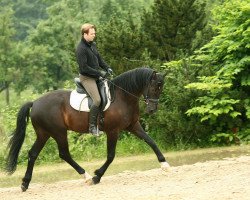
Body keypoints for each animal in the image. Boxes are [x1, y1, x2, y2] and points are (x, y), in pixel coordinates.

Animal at [5, 67, 171, 191]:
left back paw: (25, 183)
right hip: (58, 132)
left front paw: (165, 165)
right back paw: (86, 176)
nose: (152, 110)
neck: (122, 97)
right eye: (154, 87)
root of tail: (35, 103)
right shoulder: (113, 131)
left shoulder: (133, 125)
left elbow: (151, 141)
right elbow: (111, 155)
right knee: (64, 154)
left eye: (161, 88)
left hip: (44, 133)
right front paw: (97, 176)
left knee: (33, 154)